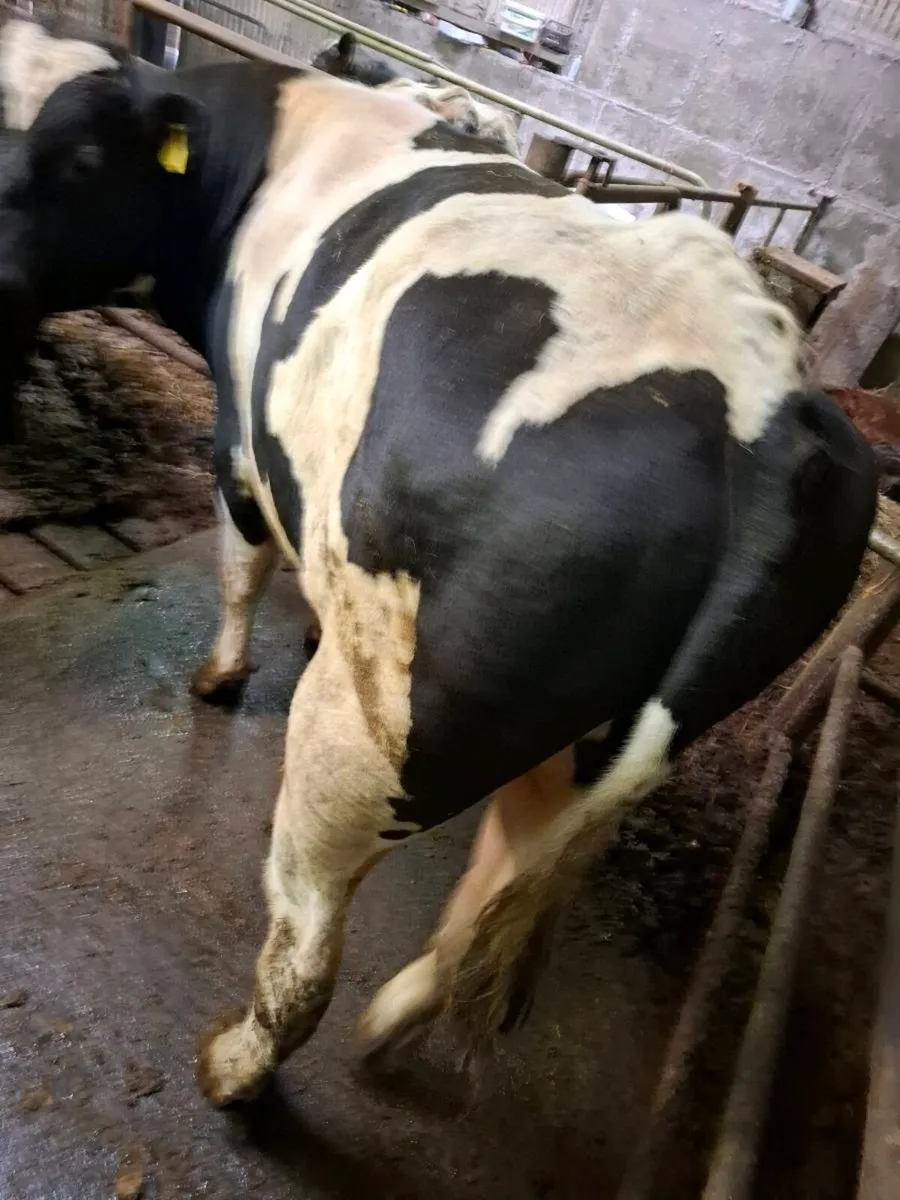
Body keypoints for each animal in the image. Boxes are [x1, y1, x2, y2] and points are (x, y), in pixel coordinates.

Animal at [0, 21, 878, 1112]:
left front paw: (218, 677)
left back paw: (235, 1066)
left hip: (371, 740)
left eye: (77, 158)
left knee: (308, 940)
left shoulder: (240, 445)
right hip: (590, 733)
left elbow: (242, 568)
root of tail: (769, 422)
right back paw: (389, 1026)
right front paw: (307, 626)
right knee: (503, 883)